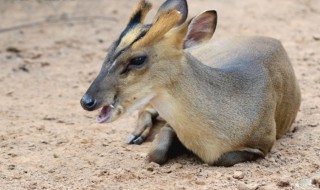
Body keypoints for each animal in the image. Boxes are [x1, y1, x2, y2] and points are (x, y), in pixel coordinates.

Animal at [80, 0, 300, 166]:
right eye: (109, 51)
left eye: (138, 59)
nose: (87, 101)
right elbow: (155, 153)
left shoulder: (264, 142)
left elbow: (219, 159)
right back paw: (136, 134)